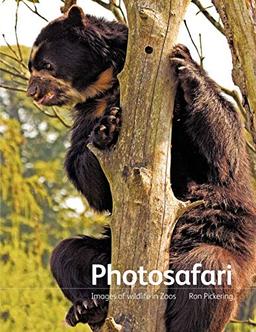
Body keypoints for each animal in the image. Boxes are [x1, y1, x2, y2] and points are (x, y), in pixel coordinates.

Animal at [27, 5, 256, 332]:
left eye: (46, 64)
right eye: (31, 67)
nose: (32, 91)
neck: (110, 83)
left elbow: (224, 153)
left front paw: (184, 63)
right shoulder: (91, 111)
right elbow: (91, 178)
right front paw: (107, 129)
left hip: (222, 235)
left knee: (208, 269)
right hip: (111, 254)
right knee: (68, 254)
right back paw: (89, 308)